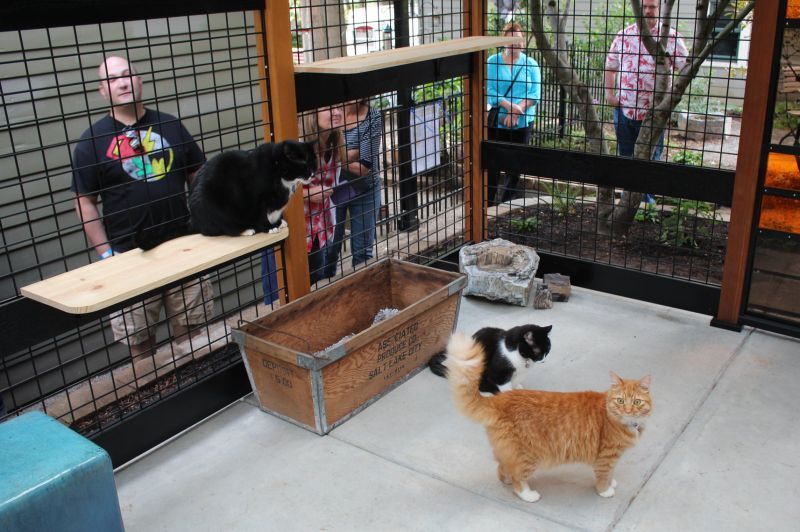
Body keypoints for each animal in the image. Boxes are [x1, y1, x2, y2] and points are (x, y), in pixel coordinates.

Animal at [136, 140, 314, 250]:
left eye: (314, 163)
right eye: (304, 165)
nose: (312, 173)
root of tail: (193, 221)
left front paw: (279, 222)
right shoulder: (258, 198)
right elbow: (261, 215)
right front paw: (269, 227)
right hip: (212, 207)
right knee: (219, 229)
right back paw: (245, 230)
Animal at [444, 332, 648, 502]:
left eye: (637, 402)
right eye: (620, 401)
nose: (628, 409)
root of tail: (500, 399)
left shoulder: (612, 457)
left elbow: (611, 473)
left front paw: (611, 483)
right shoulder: (606, 456)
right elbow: (604, 475)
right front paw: (605, 490)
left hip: (511, 452)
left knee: (503, 467)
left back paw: (506, 479)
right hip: (529, 457)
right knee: (518, 478)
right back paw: (528, 494)